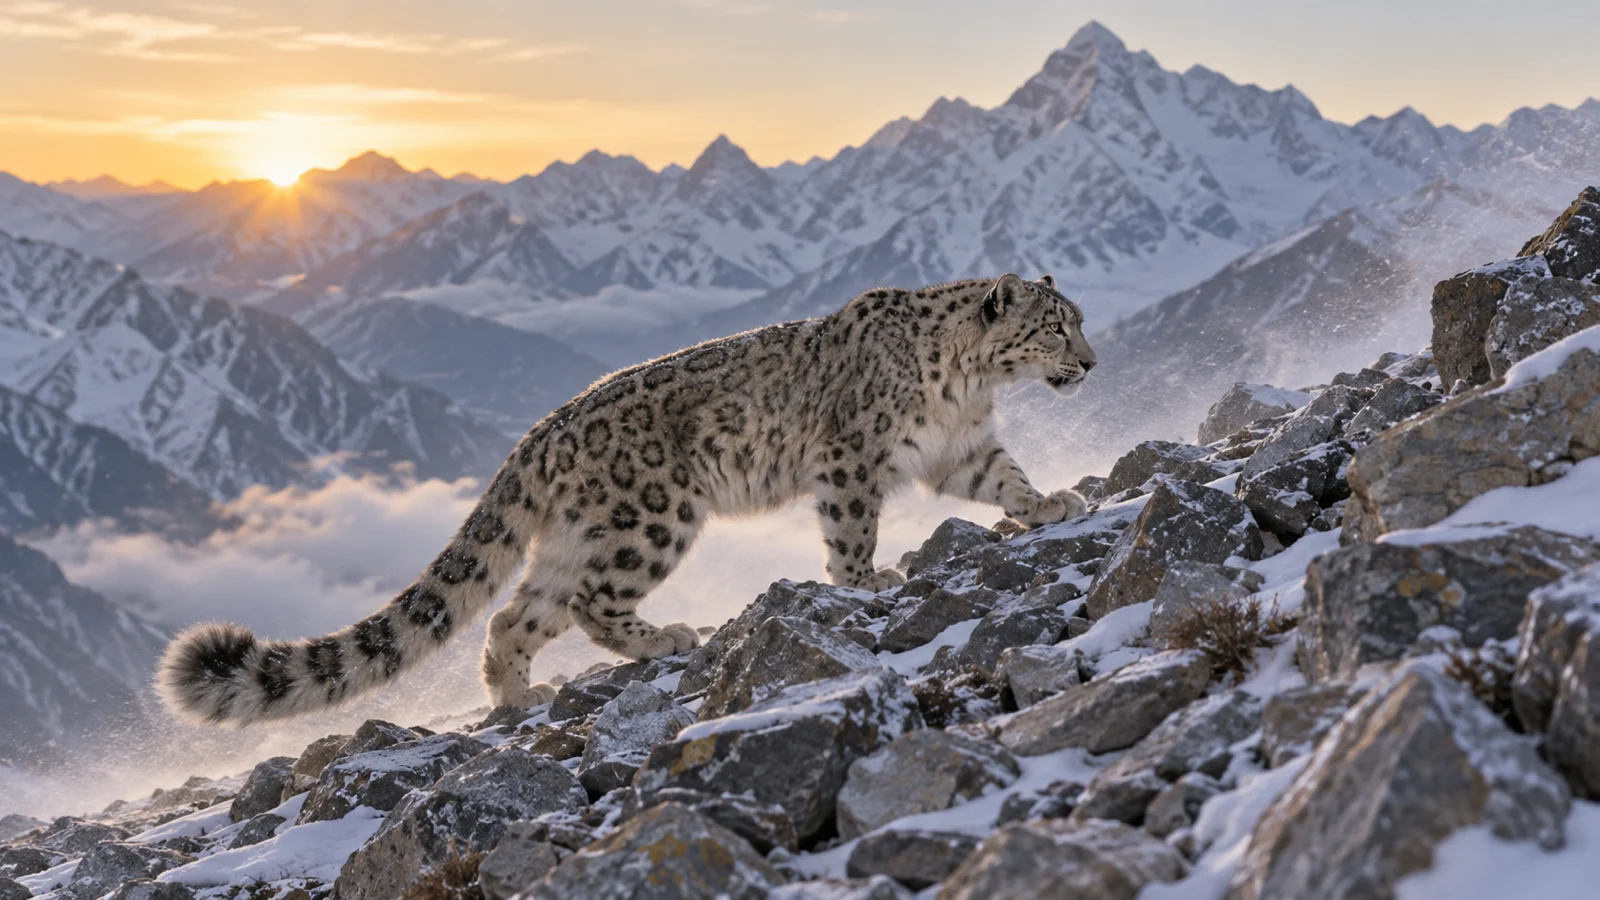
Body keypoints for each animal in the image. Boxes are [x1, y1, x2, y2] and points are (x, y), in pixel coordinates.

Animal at [158, 273, 1097, 724]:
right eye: (1055, 325)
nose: (1090, 363)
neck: (967, 386)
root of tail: (540, 433)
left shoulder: (960, 449)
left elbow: (1005, 477)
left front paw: (1052, 505)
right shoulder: (851, 459)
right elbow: (851, 532)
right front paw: (868, 584)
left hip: (580, 534)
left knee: (516, 614)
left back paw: (517, 698)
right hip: (655, 514)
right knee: (587, 603)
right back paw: (669, 636)